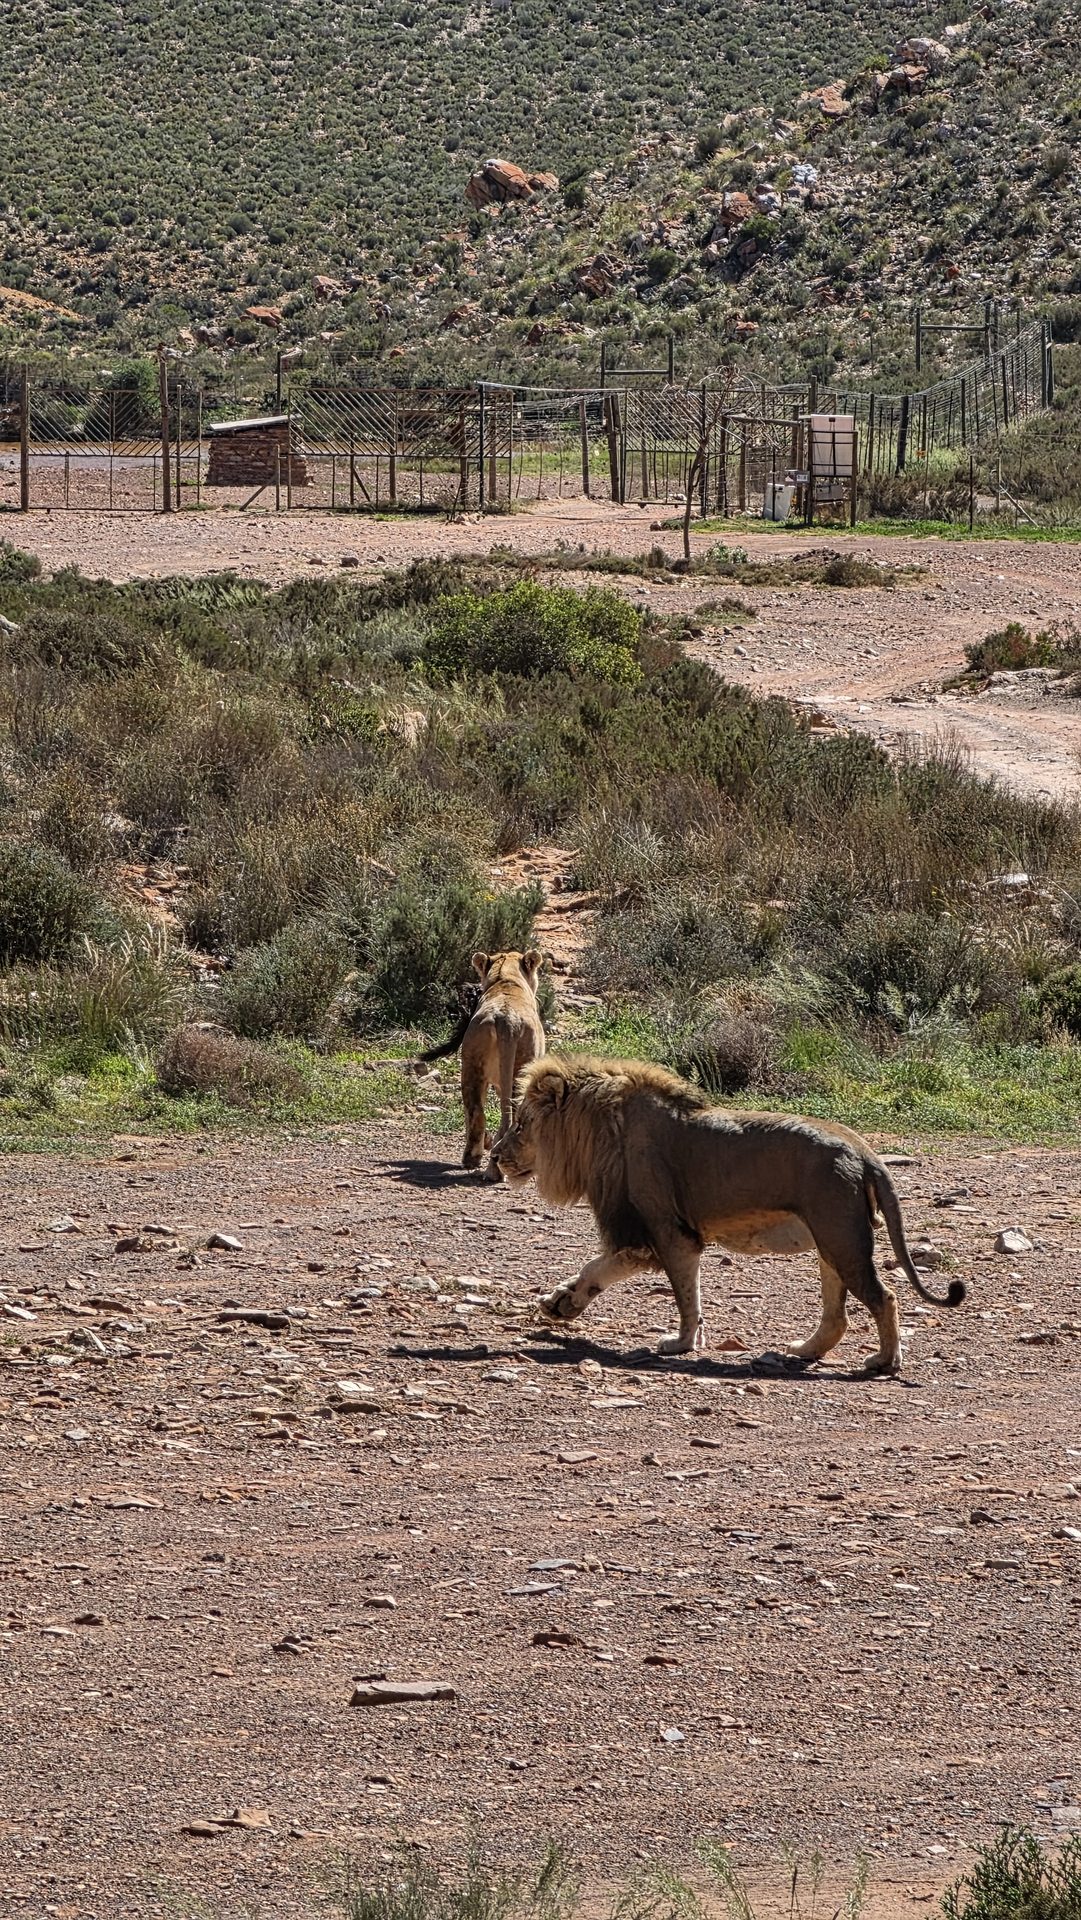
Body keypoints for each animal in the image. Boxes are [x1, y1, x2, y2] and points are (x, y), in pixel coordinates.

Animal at [458, 950, 545, 1172]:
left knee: (475, 1111)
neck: (506, 980)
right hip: (523, 1064)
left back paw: (474, 1159)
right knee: (514, 1117)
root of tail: (507, 1021)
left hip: (472, 1061)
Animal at [490, 1053, 965, 1375]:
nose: (494, 1156)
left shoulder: (669, 1231)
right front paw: (561, 1303)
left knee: (884, 1297)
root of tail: (865, 1151)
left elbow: (685, 1297)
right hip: (832, 1241)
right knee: (837, 1316)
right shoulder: (643, 1234)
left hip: (842, 1236)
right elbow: (598, 1267)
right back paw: (803, 1351)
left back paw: (884, 1360)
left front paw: (682, 1342)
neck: (599, 1129)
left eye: (521, 1124)